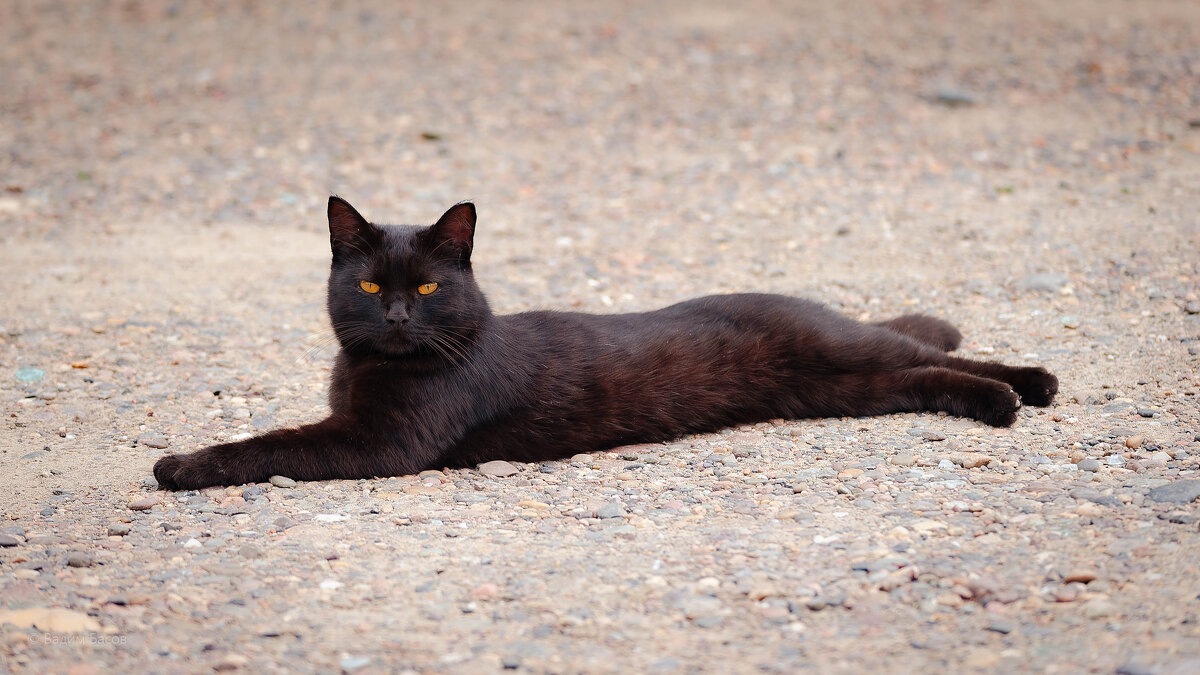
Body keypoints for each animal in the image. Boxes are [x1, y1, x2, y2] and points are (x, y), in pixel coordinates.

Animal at [152, 196, 1060, 485]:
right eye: (372, 287)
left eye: (429, 288)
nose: (400, 317)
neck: (370, 365)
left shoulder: (380, 440)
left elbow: (271, 441)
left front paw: (179, 465)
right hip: (847, 389)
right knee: (925, 368)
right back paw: (1014, 395)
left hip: (845, 357)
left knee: (929, 350)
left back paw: (1024, 389)